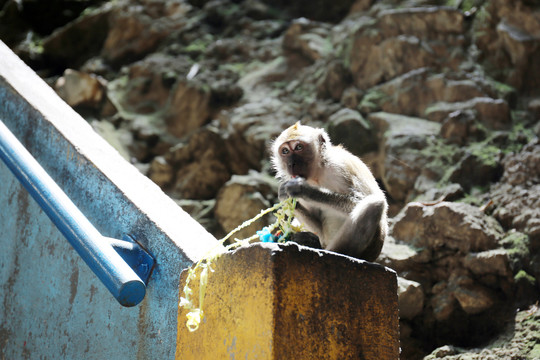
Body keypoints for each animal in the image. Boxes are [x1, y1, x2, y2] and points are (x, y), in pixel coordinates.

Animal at [272, 121, 386, 262]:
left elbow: (362, 199)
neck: (318, 173)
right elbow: (319, 229)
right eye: (285, 151)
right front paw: (285, 195)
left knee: (374, 203)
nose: (291, 164)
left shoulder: (341, 166)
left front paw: (305, 190)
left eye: (298, 147)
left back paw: (334, 252)